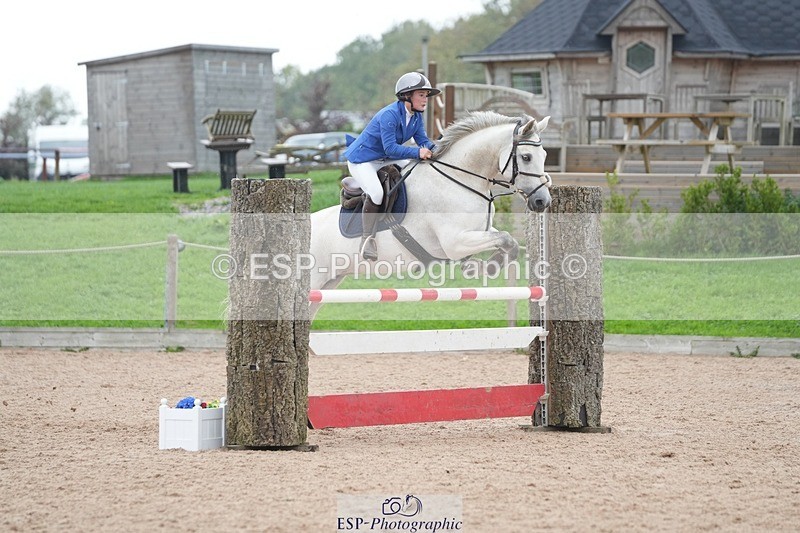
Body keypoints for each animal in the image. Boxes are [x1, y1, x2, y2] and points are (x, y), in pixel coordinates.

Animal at [309, 111, 553, 306]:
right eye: (526, 157)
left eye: (544, 156)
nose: (543, 202)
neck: (458, 179)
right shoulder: (454, 242)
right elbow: (505, 239)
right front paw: (485, 267)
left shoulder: (478, 231)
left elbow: (508, 242)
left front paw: (480, 267)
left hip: (328, 283)